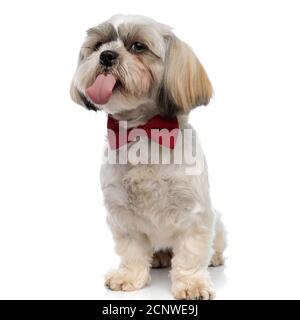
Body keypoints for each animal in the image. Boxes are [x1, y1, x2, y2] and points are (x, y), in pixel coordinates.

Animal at [70, 14, 226, 300]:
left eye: (138, 47)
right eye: (98, 45)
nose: (106, 55)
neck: (145, 131)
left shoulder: (195, 215)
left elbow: (190, 253)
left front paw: (191, 284)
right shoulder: (122, 214)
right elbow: (131, 250)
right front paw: (128, 276)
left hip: (217, 223)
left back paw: (214, 256)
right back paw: (159, 258)